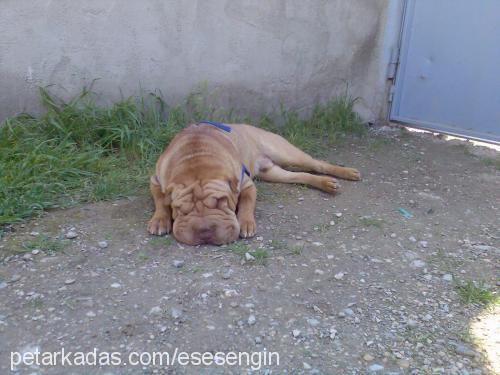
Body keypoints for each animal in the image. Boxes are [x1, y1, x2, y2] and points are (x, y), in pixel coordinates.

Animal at [146, 122, 362, 247]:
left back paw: (347, 173)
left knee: (317, 163)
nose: (204, 231)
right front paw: (160, 220)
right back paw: (326, 184)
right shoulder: (155, 180)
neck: (196, 160)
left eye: (222, 202)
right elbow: (160, 200)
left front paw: (246, 223)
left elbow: (247, 204)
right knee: (301, 176)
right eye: (180, 209)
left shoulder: (247, 184)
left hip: (287, 152)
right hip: (275, 173)